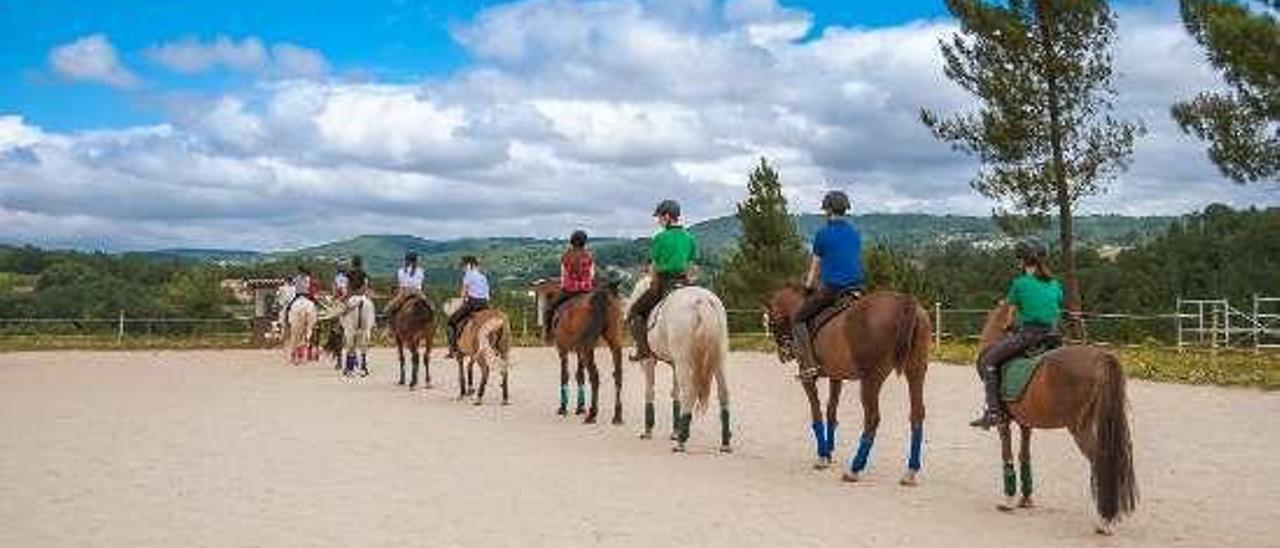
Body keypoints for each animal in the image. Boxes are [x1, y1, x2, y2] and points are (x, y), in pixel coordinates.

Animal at [627, 276, 737, 450]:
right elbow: (675, 393)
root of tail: (702, 301)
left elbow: (650, 391)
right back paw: (725, 442)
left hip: (684, 361)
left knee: (689, 392)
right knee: (723, 392)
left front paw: (648, 430)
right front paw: (675, 431)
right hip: (717, 360)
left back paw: (682, 441)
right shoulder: (674, 365)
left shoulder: (649, 361)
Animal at [757, 284, 931, 486]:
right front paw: (829, 451)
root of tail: (903, 302)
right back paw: (911, 471)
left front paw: (822, 456)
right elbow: (831, 411)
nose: (784, 354)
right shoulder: (836, 376)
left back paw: (855, 468)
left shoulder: (808, 378)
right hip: (916, 372)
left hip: (871, 379)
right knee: (917, 414)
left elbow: (816, 413)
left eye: (771, 323)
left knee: (872, 418)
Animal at [972, 302, 1136, 532]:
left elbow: (1007, 455)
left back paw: (1104, 520)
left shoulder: (1004, 423)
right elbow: (1024, 455)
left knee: (1099, 461)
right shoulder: (1026, 422)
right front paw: (1026, 499)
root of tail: (1100, 358)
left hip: (1080, 428)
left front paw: (1009, 500)